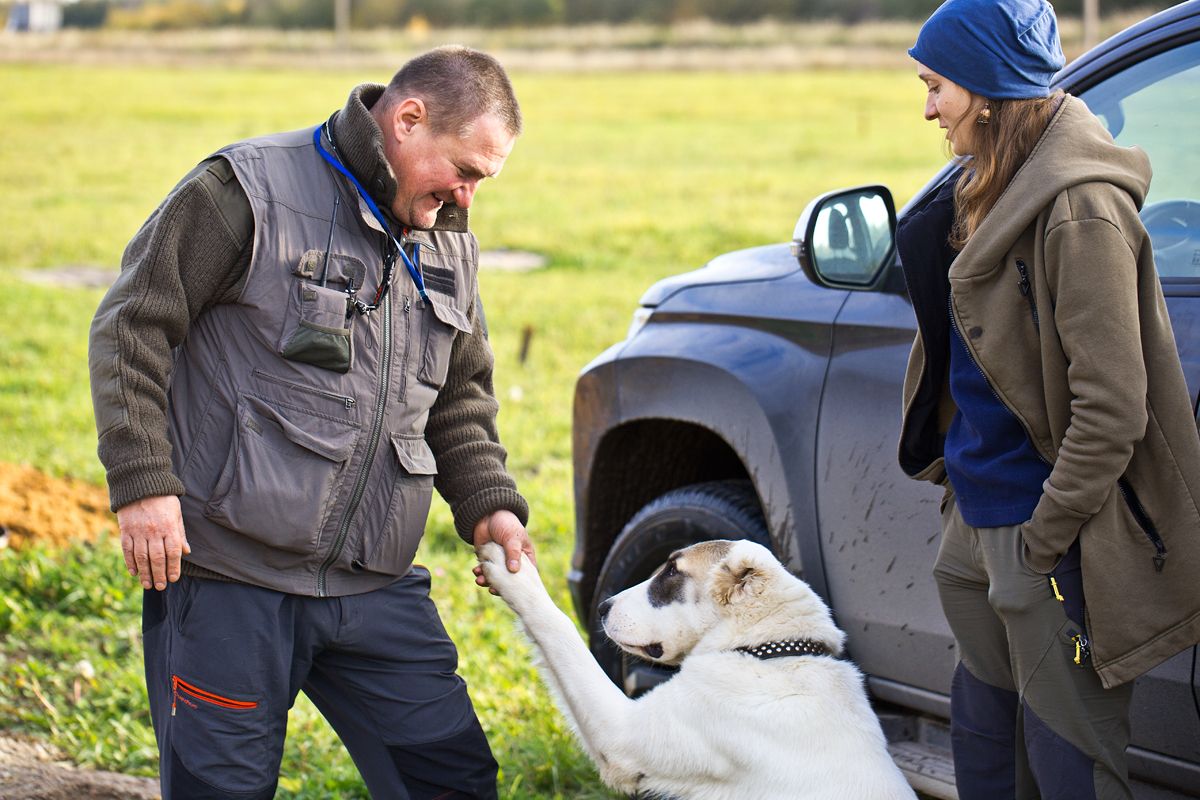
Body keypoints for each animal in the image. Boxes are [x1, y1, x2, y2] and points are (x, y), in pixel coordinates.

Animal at [472, 537, 912, 800]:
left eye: (670, 572)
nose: (602, 608)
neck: (767, 653)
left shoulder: (622, 736)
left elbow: (559, 628)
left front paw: (511, 571)